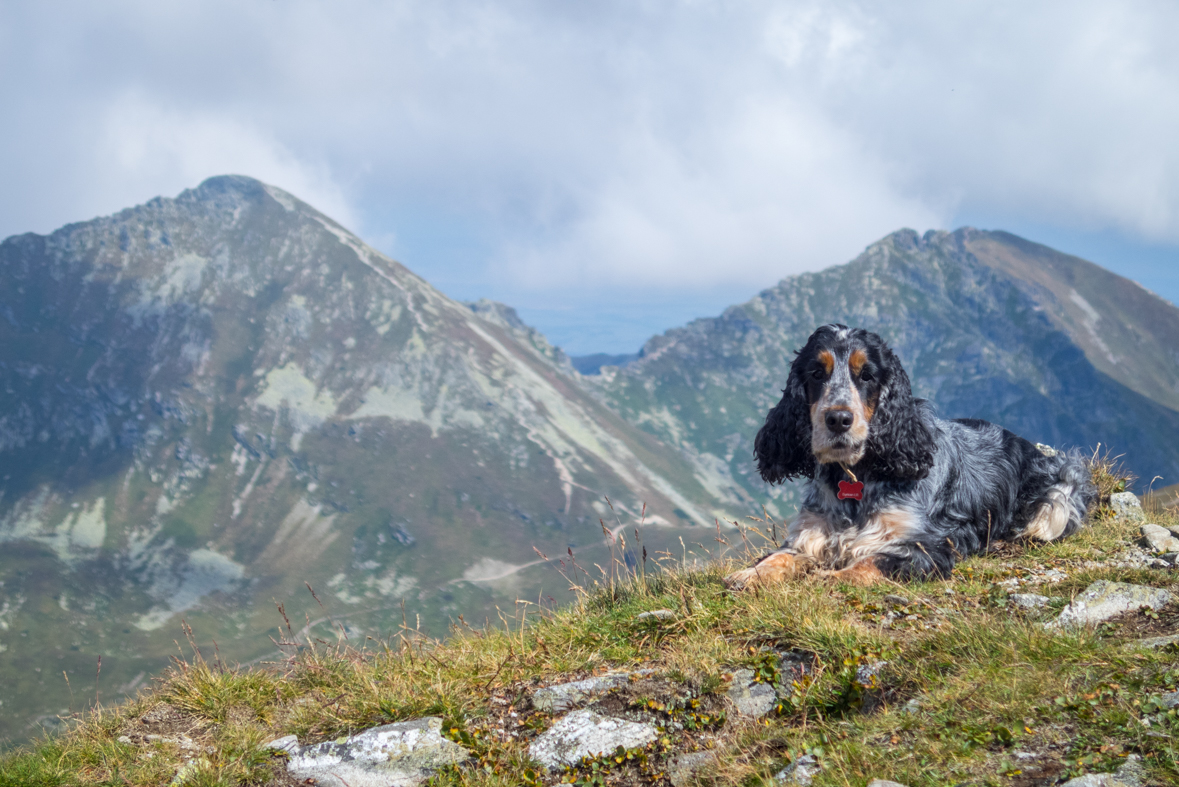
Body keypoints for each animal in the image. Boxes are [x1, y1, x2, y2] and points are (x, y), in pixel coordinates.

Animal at [726, 322, 1094, 586]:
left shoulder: (926, 545)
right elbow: (780, 556)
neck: (856, 476)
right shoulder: (810, 534)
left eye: (867, 375)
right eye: (817, 373)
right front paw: (748, 576)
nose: (839, 419)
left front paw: (829, 577)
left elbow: (871, 562)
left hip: (1057, 497)